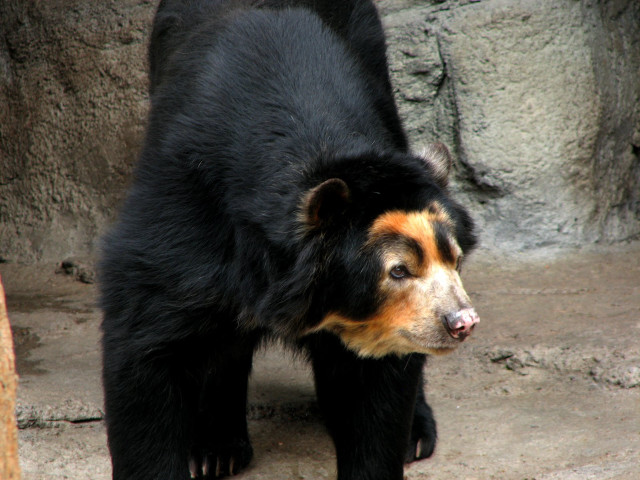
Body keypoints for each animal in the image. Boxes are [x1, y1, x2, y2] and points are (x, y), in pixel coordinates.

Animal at [98, 1, 479, 479]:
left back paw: (416, 433)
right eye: (398, 270)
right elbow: (144, 346)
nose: (462, 322)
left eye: (454, 259)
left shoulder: (388, 322)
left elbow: (380, 391)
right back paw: (216, 449)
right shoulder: (182, 215)